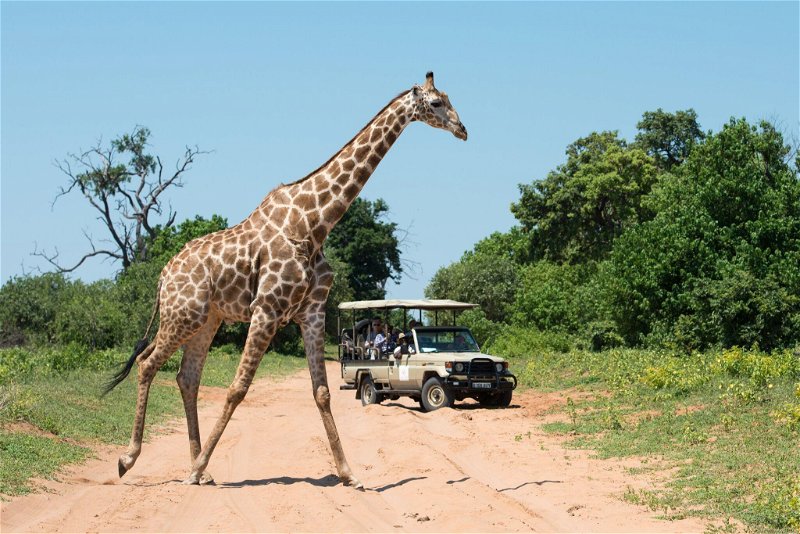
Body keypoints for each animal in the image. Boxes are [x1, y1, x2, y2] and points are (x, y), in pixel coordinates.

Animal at [106, 71, 468, 490]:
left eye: (449, 100)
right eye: (437, 103)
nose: (462, 129)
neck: (315, 223)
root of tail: (164, 276)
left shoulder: (311, 313)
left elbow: (322, 392)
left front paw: (350, 474)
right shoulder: (266, 309)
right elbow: (237, 388)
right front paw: (191, 469)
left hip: (208, 320)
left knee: (186, 377)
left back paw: (202, 468)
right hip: (183, 314)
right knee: (147, 364)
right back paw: (132, 459)